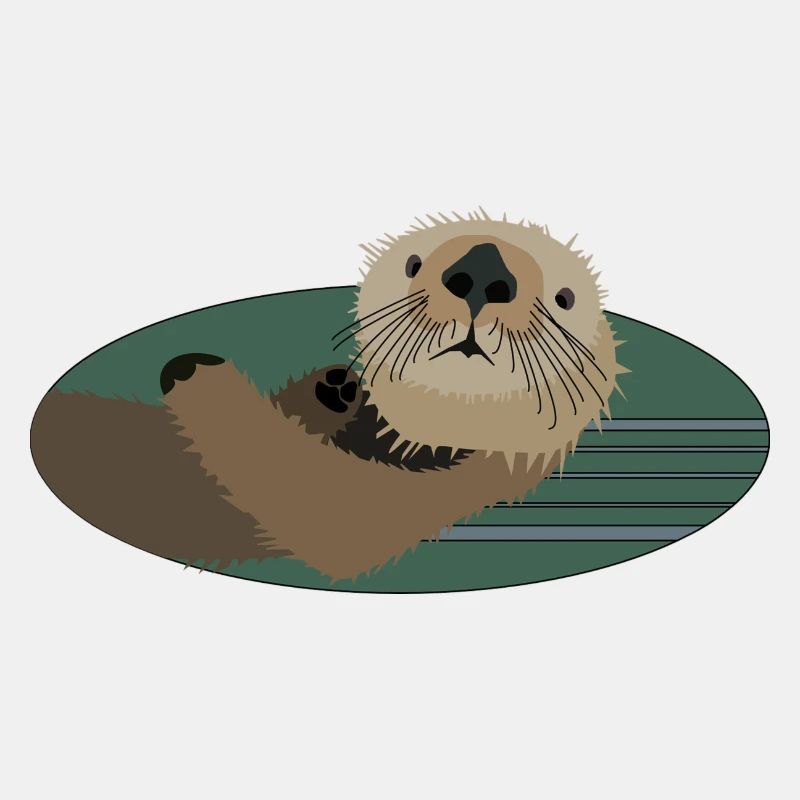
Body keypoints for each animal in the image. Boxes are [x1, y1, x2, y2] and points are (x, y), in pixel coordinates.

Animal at [31, 209, 627, 581]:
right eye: (413, 262)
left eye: (566, 297)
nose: (481, 271)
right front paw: (335, 387)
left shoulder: (434, 490)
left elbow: (305, 498)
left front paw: (193, 370)